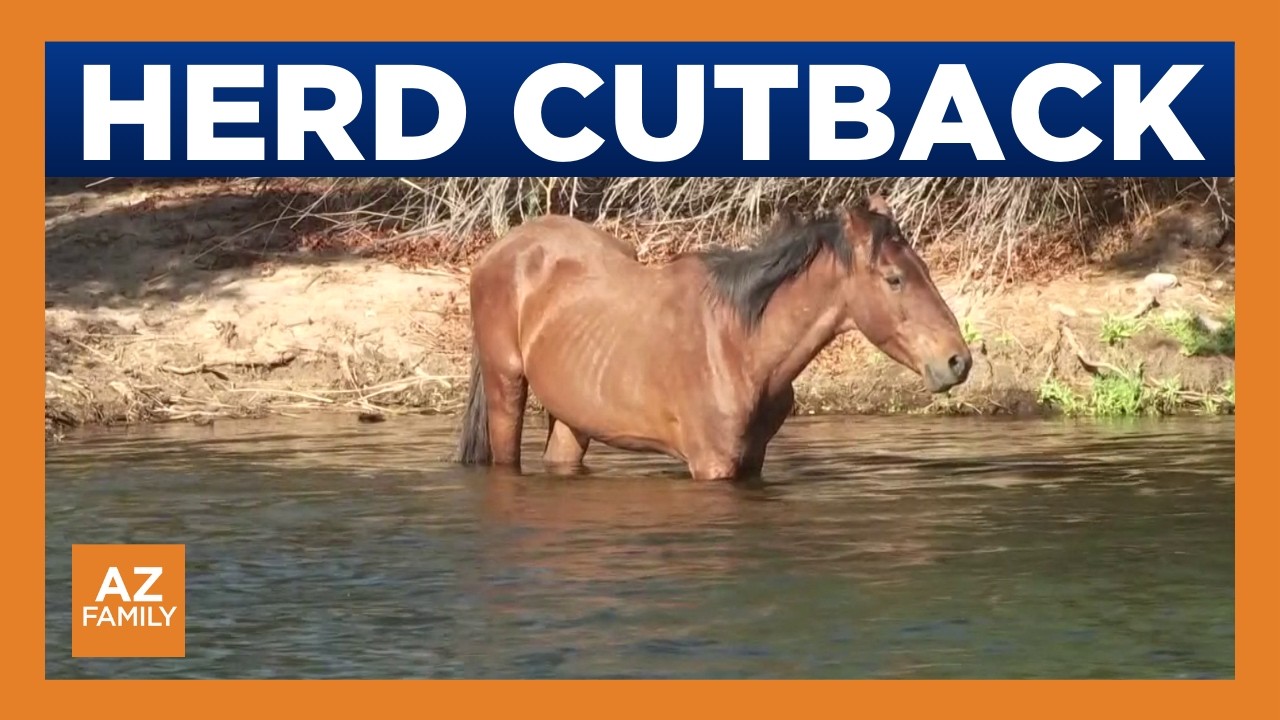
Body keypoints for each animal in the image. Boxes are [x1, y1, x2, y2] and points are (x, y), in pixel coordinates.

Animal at [454, 195, 972, 480]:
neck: (740, 346)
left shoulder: (752, 460)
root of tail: (500, 250)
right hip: (506, 389)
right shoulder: (711, 464)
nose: (957, 361)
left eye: (924, 269)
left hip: (572, 417)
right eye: (894, 279)